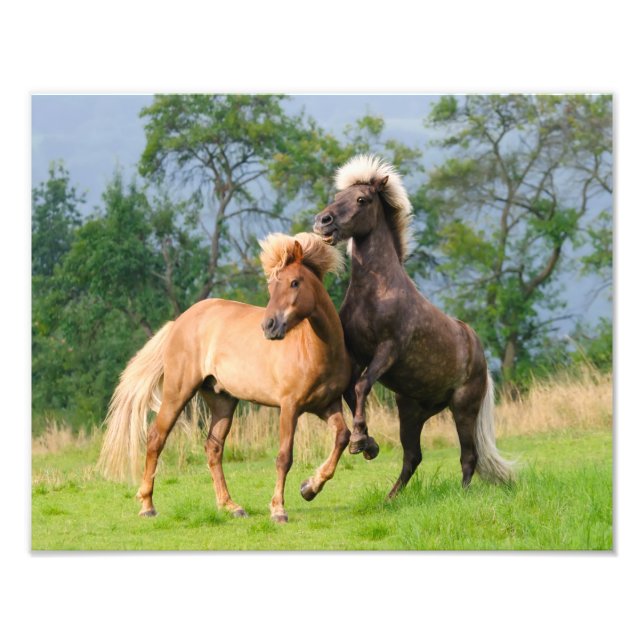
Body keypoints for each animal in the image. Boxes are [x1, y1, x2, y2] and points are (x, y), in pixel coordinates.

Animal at [98, 232, 352, 523]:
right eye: (271, 286)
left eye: (294, 282)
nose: (269, 326)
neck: (317, 350)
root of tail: (178, 322)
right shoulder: (290, 407)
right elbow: (284, 457)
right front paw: (278, 509)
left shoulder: (327, 405)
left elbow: (343, 437)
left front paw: (309, 488)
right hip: (178, 392)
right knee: (156, 438)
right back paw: (147, 505)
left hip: (222, 401)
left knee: (213, 448)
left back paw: (230, 506)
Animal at [313, 155, 514, 498]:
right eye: (338, 196)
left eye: (362, 199)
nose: (322, 221)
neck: (376, 291)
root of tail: (479, 354)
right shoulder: (356, 355)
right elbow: (352, 391)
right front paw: (367, 444)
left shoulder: (388, 350)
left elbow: (361, 386)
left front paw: (359, 441)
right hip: (411, 411)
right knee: (413, 457)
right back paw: (390, 498)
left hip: (463, 407)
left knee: (469, 456)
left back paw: (461, 495)